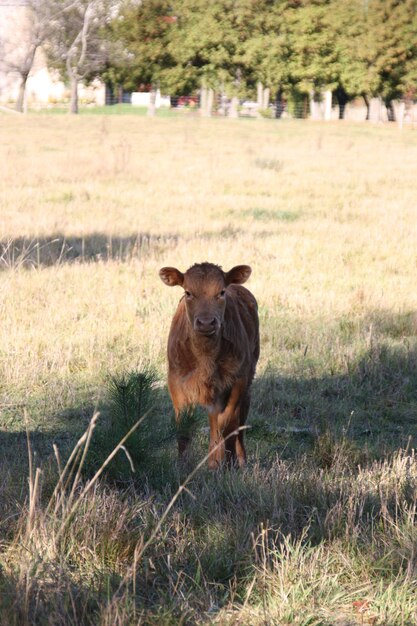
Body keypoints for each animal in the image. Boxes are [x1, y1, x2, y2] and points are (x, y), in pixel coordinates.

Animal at [158, 260, 258, 466]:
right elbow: (183, 428)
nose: (206, 323)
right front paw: (183, 465)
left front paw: (223, 463)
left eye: (221, 292)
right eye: (188, 292)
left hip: (247, 383)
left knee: (237, 423)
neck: (206, 358)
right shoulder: (175, 381)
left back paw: (237, 459)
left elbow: (227, 423)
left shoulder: (239, 380)